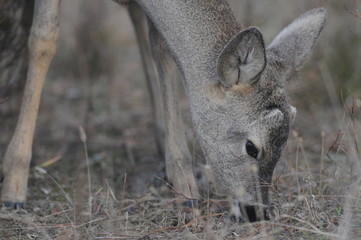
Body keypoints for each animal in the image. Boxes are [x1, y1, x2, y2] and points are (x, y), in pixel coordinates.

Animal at [0, 0, 326, 221]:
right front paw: (14, 187)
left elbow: (160, 49)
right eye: (251, 146)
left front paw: (184, 183)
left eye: (292, 120)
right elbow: (44, 38)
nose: (256, 211)